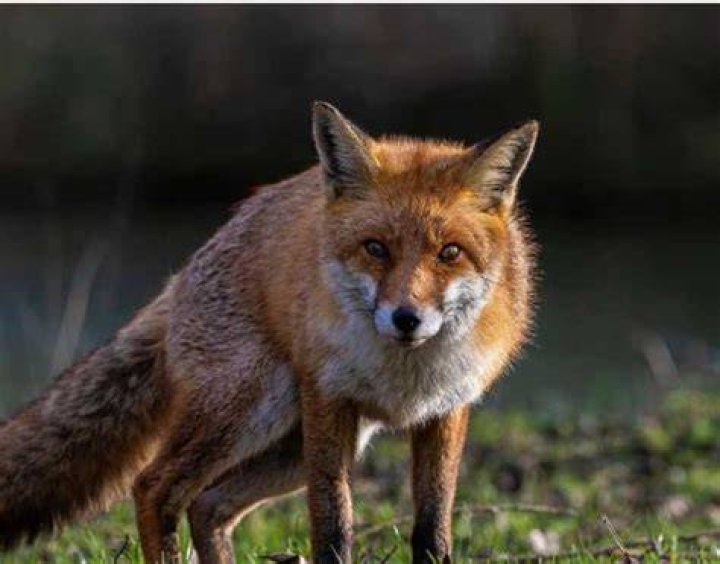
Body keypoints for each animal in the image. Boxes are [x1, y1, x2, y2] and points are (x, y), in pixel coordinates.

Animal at [0, 102, 539, 563]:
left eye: (449, 253)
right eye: (375, 248)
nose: (406, 318)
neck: (404, 377)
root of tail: (181, 277)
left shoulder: (447, 409)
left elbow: (433, 523)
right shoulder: (327, 397)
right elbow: (332, 520)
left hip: (295, 445)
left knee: (208, 504)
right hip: (252, 407)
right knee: (155, 487)